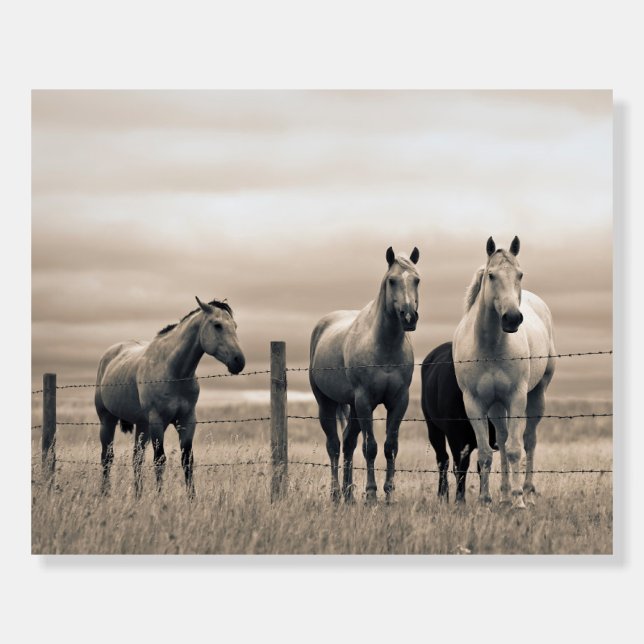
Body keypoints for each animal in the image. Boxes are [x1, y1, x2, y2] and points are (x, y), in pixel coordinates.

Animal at [95, 297, 245, 497]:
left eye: (235, 326)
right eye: (217, 325)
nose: (239, 361)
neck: (173, 371)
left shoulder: (187, 420)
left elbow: (187, 460)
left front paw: (192, 498)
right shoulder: (158, 421)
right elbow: (160, 460)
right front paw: (160, 498)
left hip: (142, 425)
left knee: (137, 458)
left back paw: (138, 496)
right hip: (107, 420)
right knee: (107, 457)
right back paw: (104, 493)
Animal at [309, 246, 420, 503]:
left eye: (417, 280)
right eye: (392, 280)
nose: (409, 317)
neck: (384, 346)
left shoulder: (399, 401)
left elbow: (390, 446)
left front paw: (389, 494)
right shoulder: (365, 401)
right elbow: (370, 448)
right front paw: (371, 494)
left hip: (353, 408)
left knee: (348, 442)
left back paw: (349, 495)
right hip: (327, 403)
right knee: (334, 445)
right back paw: (336, 494)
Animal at [421, 341, 497, 503]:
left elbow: (482, 465)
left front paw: (483, 497)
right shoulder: (455, 436)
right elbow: (461, 467)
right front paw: (460, 500)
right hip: (433, 429)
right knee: (443, 460)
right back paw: (443, 495)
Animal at [453, 236, 555, 509]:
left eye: (520, 274)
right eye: (491, 275)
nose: (512, 318)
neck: (490, 347)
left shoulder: (517, 397)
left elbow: (514, 449)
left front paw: (519, 501)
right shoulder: (475, 403)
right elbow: (486, 453)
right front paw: (485, 500)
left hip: (536, 395)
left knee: (529, 440)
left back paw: (526, 491)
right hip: (497, 407)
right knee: (501, 436)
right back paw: (505, 494)